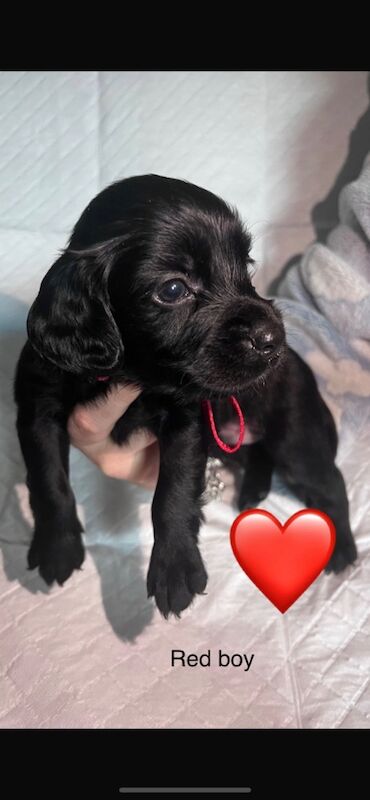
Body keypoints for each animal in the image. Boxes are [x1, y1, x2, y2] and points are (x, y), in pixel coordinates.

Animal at [13, 175, 356, 616]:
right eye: (174, 288)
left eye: (246, 265)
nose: (273, 339)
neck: (133, 372)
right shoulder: (38, 406)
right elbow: (47, 476)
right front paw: (57, 545)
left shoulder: (185, 419)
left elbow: (172, 493)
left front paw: (175, 570)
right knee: (261, 456)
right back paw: (252, 492)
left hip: (295, 437)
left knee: (331, 481)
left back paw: (342, 548)